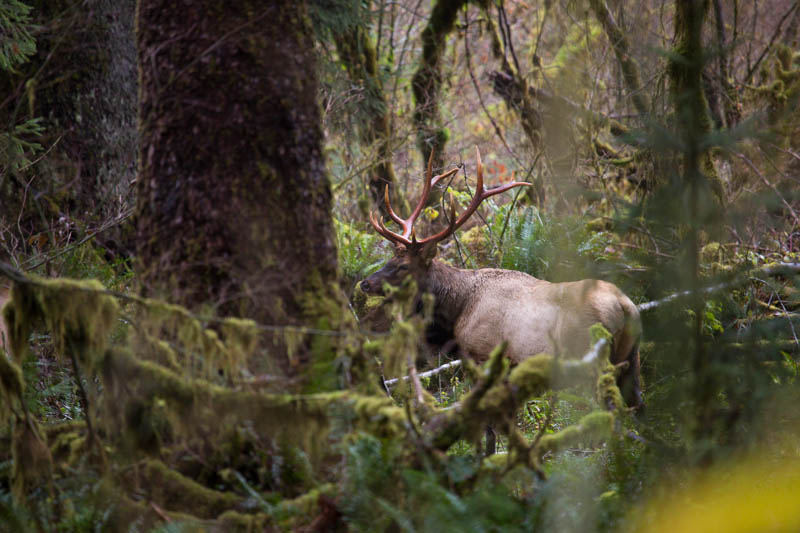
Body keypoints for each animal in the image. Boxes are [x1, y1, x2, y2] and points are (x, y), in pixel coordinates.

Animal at [362, 149, 644, 408]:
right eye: (389, 259)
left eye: (403, 266)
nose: (364, 283)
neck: (458, 312)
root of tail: (625, 307)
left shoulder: (485, 354)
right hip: (631, 360)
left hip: (591, 358)